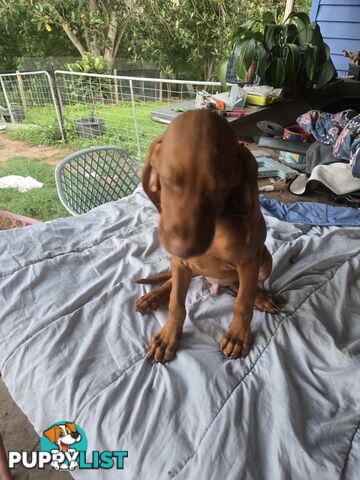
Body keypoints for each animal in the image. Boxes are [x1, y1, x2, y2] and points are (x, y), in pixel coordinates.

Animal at [135, 110, 278, 362]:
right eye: (167, 180)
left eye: (219, 189)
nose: (182, 247)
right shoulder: (180, 263)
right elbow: (176, 304)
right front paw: (168, 336)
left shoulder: (249, 263)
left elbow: (243, 303)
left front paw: (237, 336)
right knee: (172, 283)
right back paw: (153, 297)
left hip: (264, 261)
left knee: (238, 287)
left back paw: (260, 297)